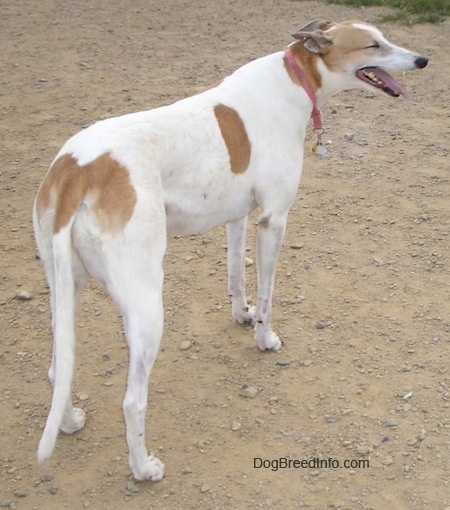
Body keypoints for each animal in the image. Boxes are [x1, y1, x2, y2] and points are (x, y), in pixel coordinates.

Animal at [33, 20, 428, 482]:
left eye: (383, 37)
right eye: (373, 45)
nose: (423, 60)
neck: (295, 78)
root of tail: (76, 168)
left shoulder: (238, 217)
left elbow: (237, 275)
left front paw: (243, 315)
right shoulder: (273, 221)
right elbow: (268, 295)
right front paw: (264, 337)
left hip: (64, 288)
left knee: (57, 368)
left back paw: (69, 421)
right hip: (146, 306)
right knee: (132, 401)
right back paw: (144, 468)